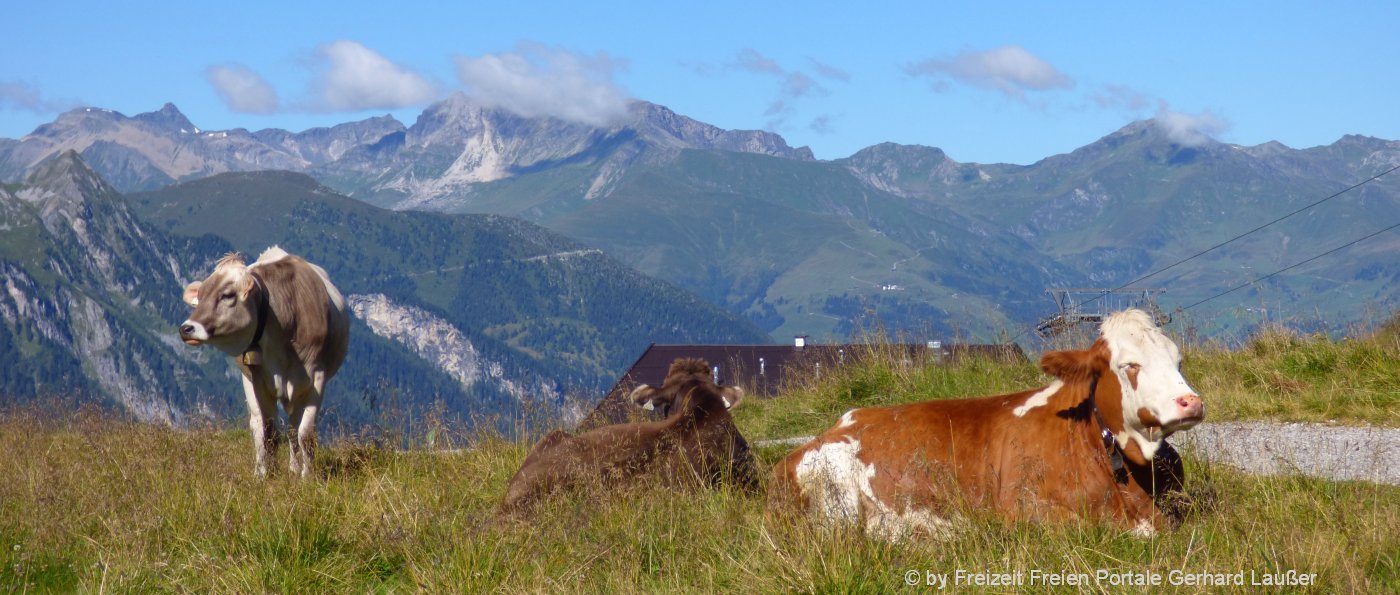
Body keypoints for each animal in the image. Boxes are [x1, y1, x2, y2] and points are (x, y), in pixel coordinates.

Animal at [180, 246, 350, 478]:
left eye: (227, 295)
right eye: (201, 294)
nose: (186, 328)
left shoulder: (316, 379)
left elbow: (305, 434)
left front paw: (307, 476)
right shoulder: (259, 379)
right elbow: (269, 431)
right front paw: (268, 475)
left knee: (293, 428)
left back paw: (294, 468)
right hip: (248, 381)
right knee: (258, 425)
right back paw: (260, 469)